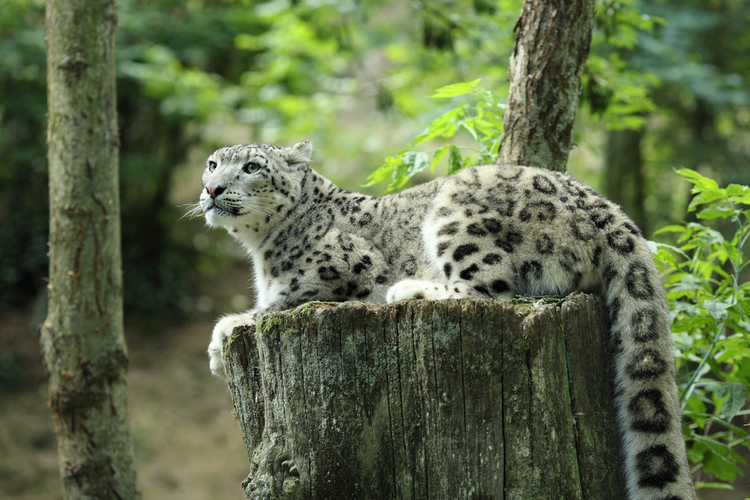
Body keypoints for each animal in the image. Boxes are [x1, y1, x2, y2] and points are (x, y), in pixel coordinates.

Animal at [193, 139, 693, 500]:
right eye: (212, 163)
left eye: (252, 167)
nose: (211, 190)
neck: (261, 253)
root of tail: (609, 209)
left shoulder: (334, 271)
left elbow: (274, 304)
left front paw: (221, 339)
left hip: (458, 217)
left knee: (493, 290)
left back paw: (410, 289)